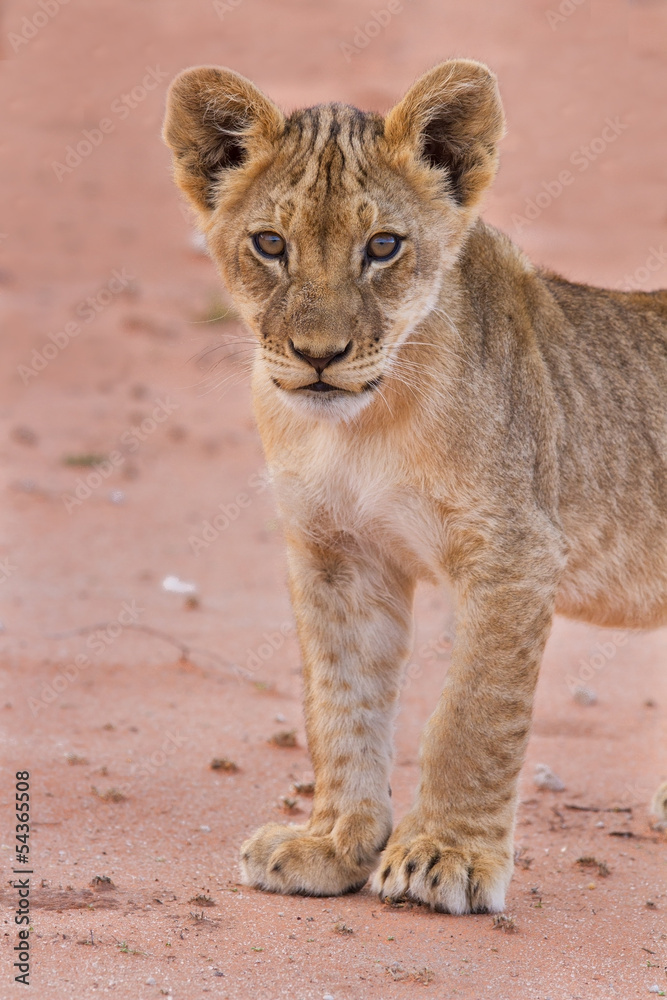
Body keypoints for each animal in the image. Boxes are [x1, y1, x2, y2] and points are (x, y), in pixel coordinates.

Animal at [163, 59, 667, 913]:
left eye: (382, 246)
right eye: (269, 244)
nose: (319, 355)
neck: (363, 428)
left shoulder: (514, 552)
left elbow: (471, 714)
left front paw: (444, 858)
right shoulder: (336, 553)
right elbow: (340, 704)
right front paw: (331, 845)